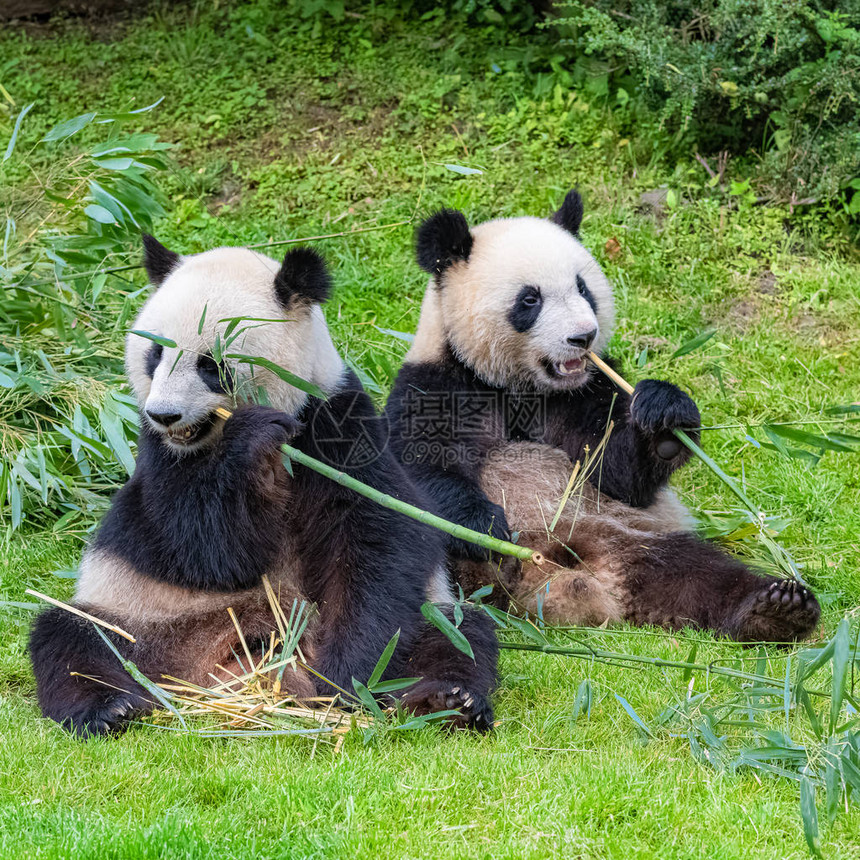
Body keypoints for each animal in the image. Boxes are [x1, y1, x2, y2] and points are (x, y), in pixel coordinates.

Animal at [28, 239, 498, 736]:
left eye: (210, 365)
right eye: (154, 355)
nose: (165, 415)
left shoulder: (335, 422)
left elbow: (378, 535)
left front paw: (346, 675)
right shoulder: (159, 457)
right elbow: (202, 547)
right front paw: (248, 439)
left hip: (427, 615)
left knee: (457, 636)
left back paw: (447, 701)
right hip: (144, 620)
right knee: (75, 639)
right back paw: (107, 708)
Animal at [386, 191, 824, 640]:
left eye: (583, 288)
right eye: (530, 299)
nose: (583, 336)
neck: (519, 385)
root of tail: (569, 580)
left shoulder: (588, 392)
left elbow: (616, 472)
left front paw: (665, 419)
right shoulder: (436, 385)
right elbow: (424, 471)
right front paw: (485, 528)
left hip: (628, 534)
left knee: (697, 573)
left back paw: (776, 608)